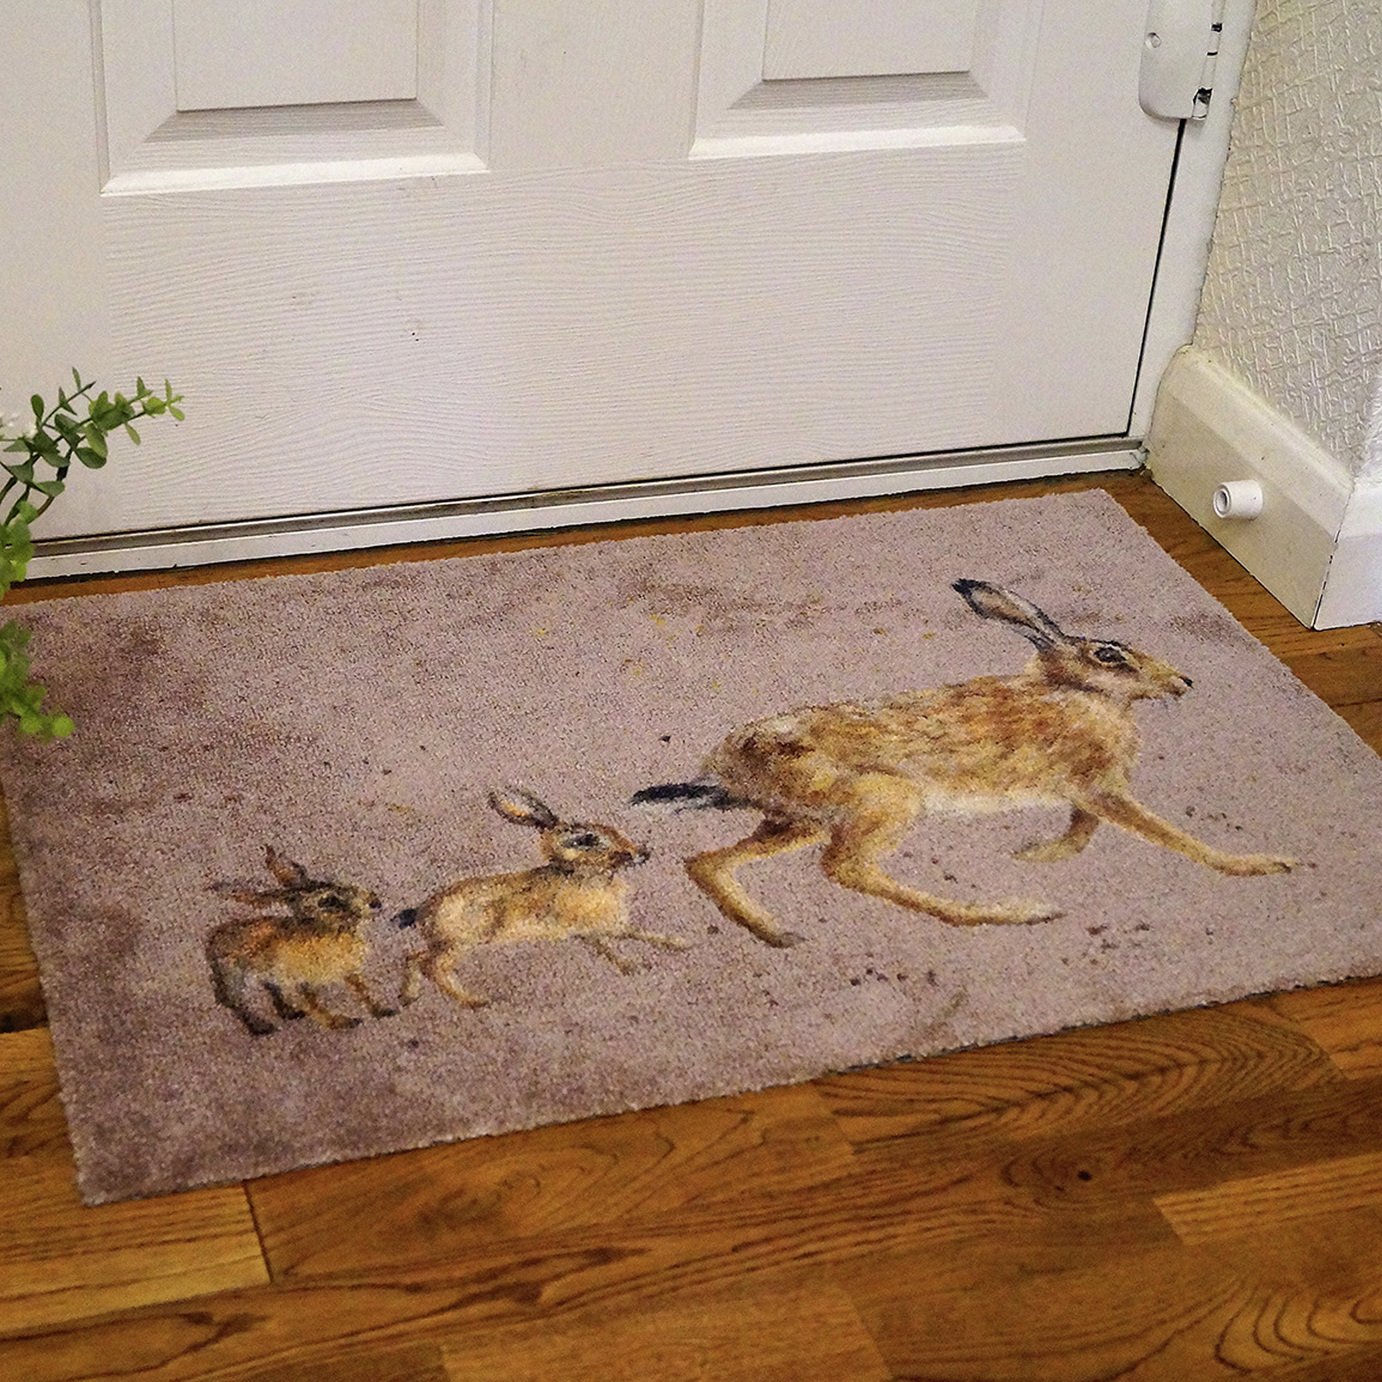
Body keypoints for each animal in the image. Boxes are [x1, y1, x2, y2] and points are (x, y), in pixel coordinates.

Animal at [206, 846, 398, 1035]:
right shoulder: (298, 984)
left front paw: (383, 1011)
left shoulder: (349, 972)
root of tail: (213, 939)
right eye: (329, 901)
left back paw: (288, 1014)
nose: (375, 902)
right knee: (236, 1003)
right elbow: (315, 1006)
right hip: (235, 977)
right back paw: (261, 1027)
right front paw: (343, 1023)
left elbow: (362, 990)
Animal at [396, 787, 687, 1009]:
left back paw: (409, 997)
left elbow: (639, 932)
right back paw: (477, 1001)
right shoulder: (585, 929)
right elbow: (607, 944)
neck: (582, 877)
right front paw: (631, 966)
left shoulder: (614, 925)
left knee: (414, 956)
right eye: (586, 839)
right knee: (432, 967)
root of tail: (422, 912)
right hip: (464, 941)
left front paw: (679, 943)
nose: (642, 853)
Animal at [634, 580, 1296, 948]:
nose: (1184, 682)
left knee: (708, 862)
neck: (1079, 695)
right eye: (1109, 655)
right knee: (846, 869)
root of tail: (724, 768)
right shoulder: (1099, 787)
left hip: (799, 818)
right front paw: (1260, 865)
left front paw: (1039, 854)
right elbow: (1173, 837)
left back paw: (777, 934)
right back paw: (1020, 911)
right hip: (883, 799)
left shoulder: (1086, 793)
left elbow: (1084, 829)